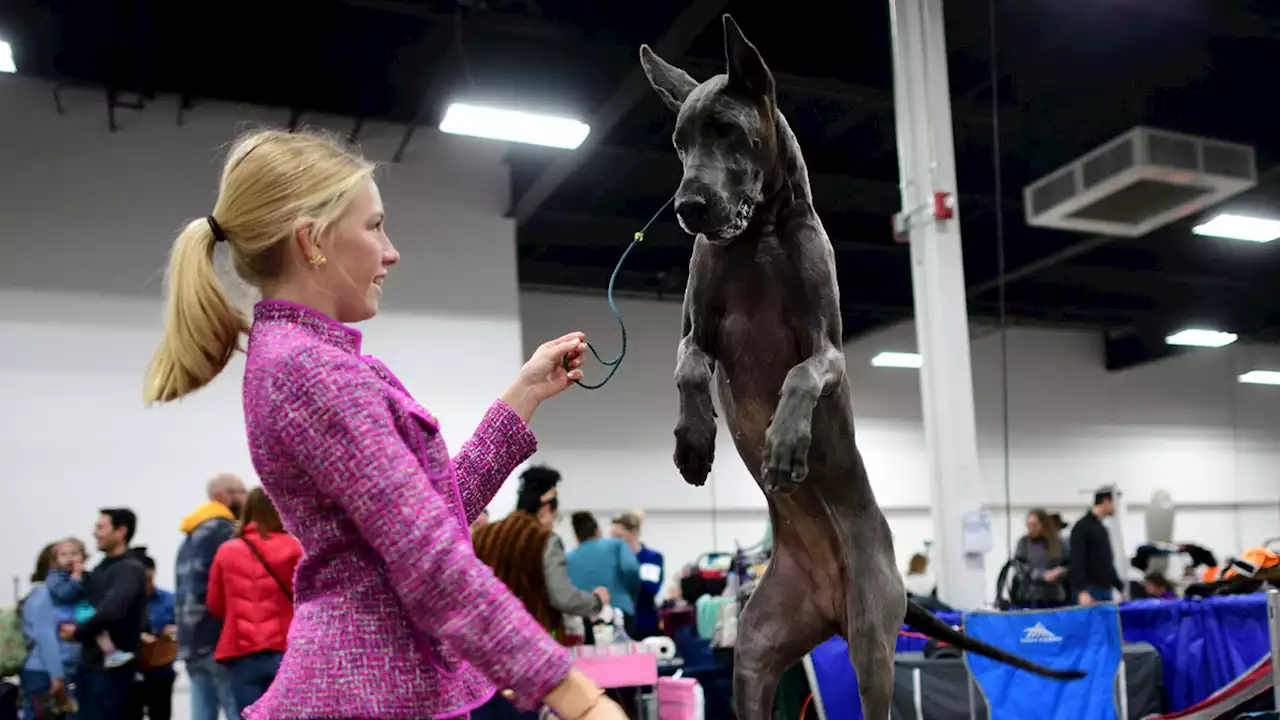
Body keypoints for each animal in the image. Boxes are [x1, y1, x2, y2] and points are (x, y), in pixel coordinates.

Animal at [640, 15, 1080, 717]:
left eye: (727, 130)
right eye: (681, 143)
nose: (689, 207)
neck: (760, 235)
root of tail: (830, 603)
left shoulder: (830, 352)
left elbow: (800, 375)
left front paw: (786, 446)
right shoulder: (696, 332)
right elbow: (686, 368)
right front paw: (693, 443)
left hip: (873, 640)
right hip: (755, 655)